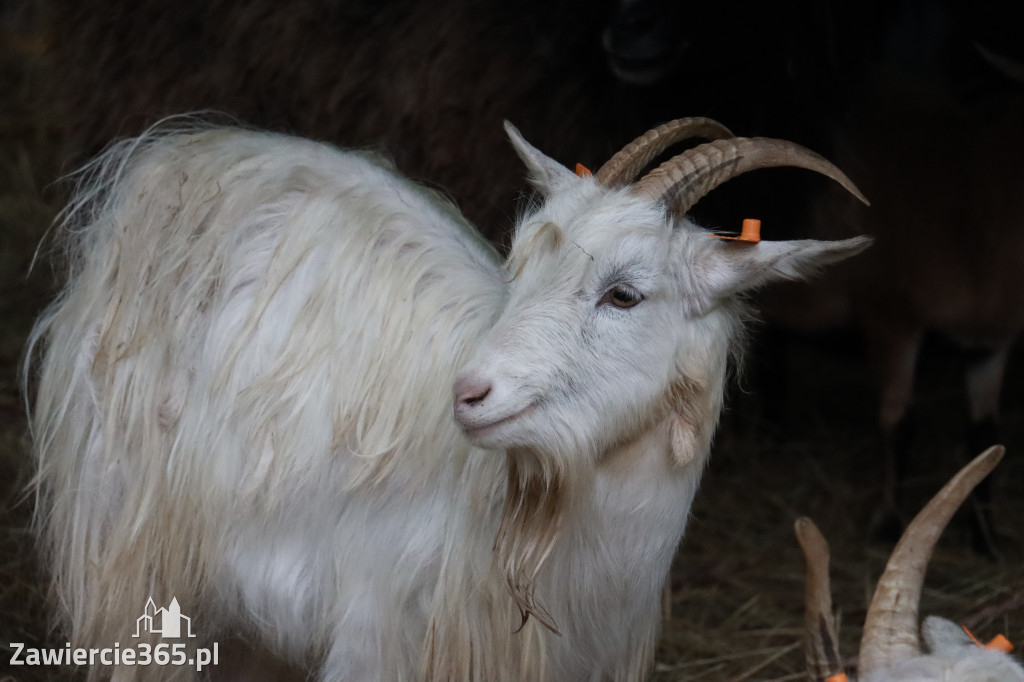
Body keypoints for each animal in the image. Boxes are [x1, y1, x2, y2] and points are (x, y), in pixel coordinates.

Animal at [28, 115, 868, 675]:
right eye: (518, 267)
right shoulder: (376, 637)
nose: (468, 392)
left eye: (625, 294)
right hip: (127, 546)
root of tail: (173, 155)